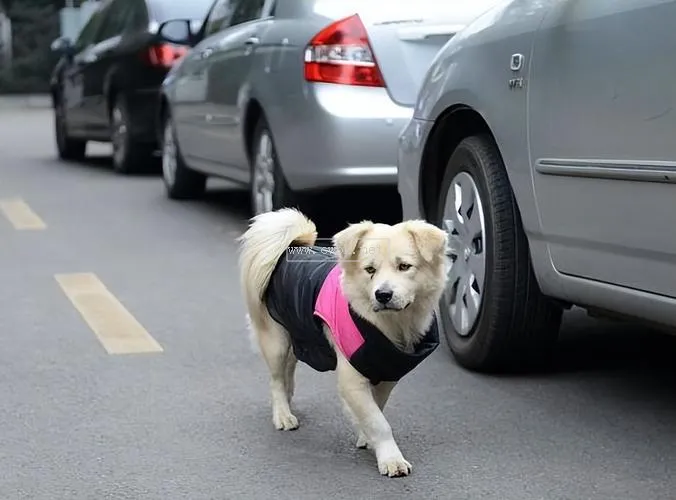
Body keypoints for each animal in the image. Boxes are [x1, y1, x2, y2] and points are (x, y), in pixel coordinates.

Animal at [238, 208, 448, 476]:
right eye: (370, 270)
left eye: (404, 266)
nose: (383, 295)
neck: (390, 324)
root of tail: (287, 250)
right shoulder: (352, 379)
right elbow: (378, 421)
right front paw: (391, 458)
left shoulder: (388, 371)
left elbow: (376, 408)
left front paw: (366, 436)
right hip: (276, 340)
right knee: (275, 379)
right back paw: (282, 414)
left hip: (299, 334)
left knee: (289, 369)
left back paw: (289, 396)